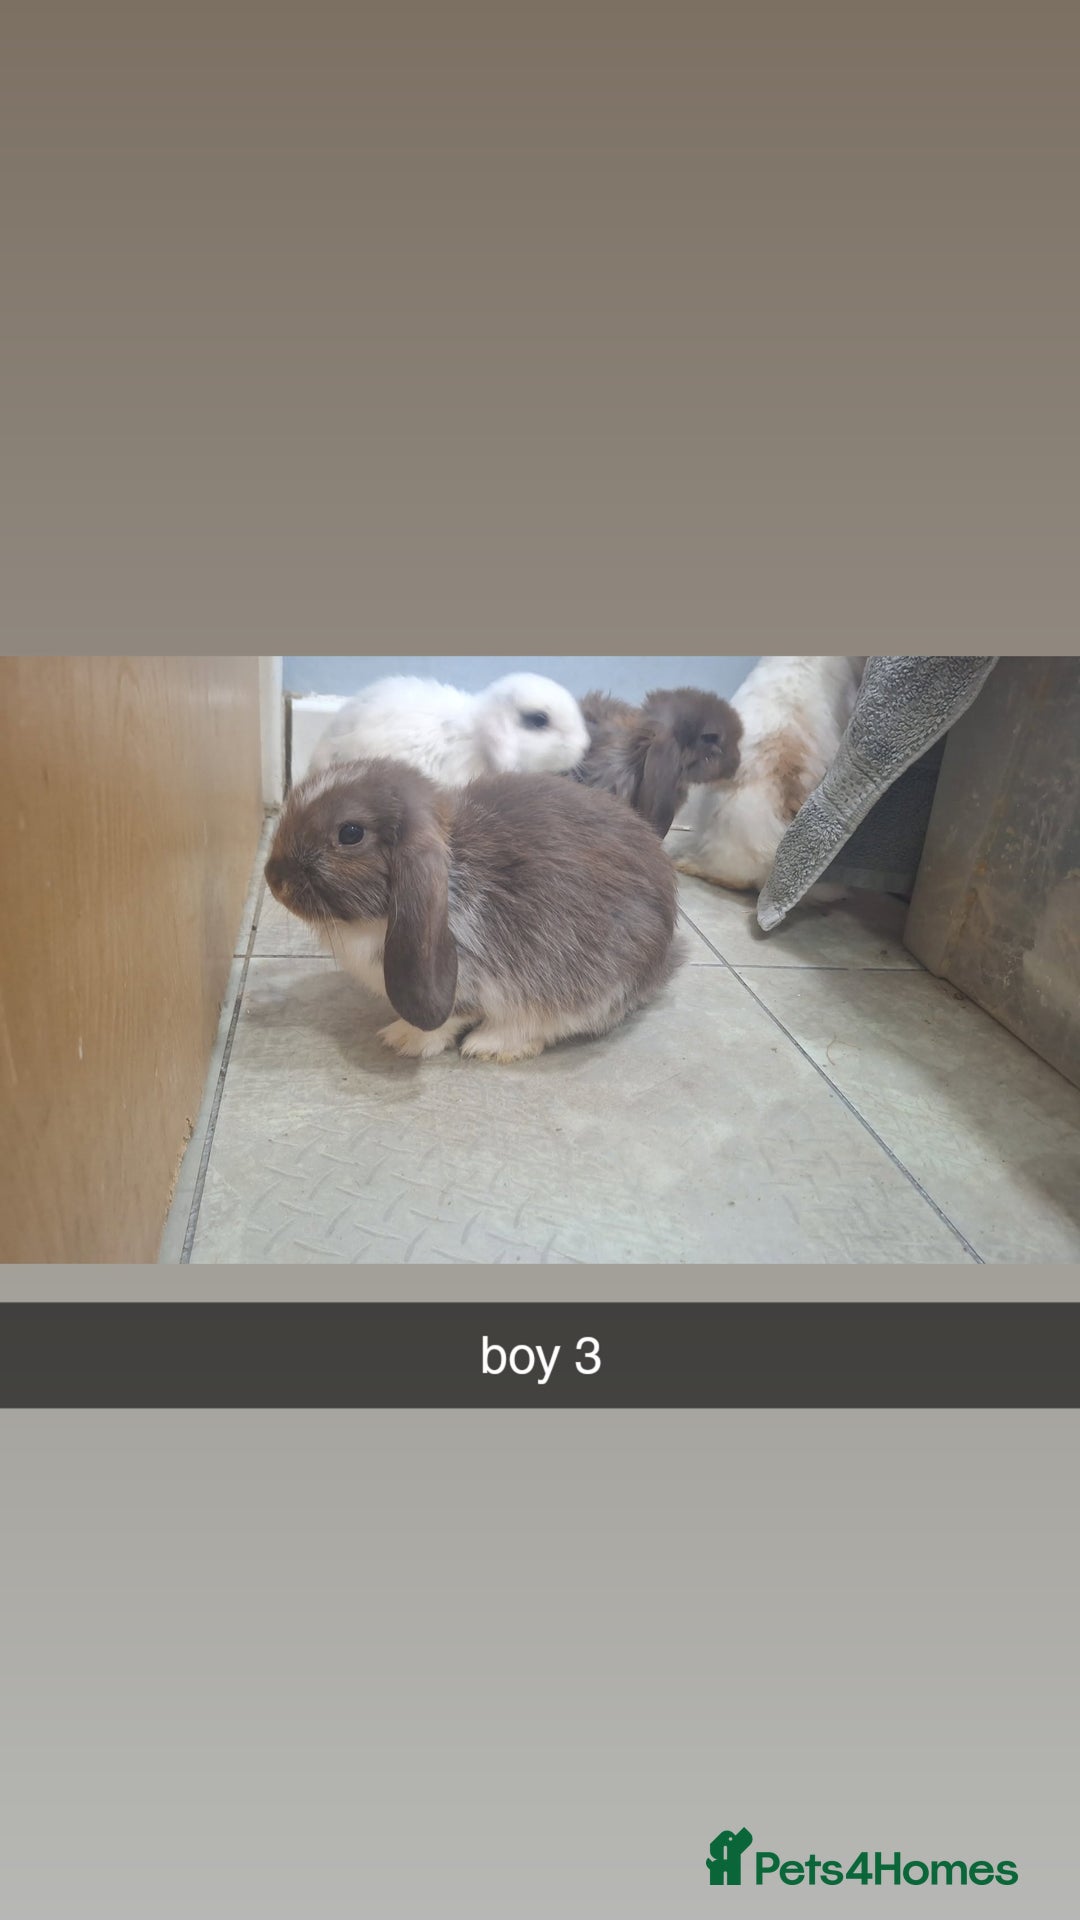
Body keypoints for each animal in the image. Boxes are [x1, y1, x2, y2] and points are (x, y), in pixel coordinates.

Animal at [263, 759, 683, 1062]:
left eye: (350, 833)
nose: (273, 879)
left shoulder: (471, 981)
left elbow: (448, 1018)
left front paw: (404, 1040)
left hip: (591, 980)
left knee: (552, 1020)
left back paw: (491, 1045)